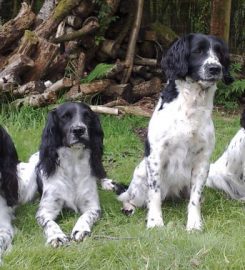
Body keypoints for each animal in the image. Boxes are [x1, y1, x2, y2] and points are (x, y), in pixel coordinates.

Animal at [35, 101, 113, 247]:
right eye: (65, 117)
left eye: (87, 116)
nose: (79, 130)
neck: (73, 163)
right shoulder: (45, 210)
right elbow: (49, 223)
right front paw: (56, 236)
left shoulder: (92, 205)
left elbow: (85, 216)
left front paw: (81, 229)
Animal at [117, 33, 233, 231]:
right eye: (198, 51)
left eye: (219, 52)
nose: (215, 68)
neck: (190, 106)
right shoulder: (155, 156)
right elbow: (154, 194)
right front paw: (155, 222)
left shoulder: (203, 160)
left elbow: (195, 199)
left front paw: (194, 224)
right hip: (140, 174)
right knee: (129, 197)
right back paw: (129, 208)